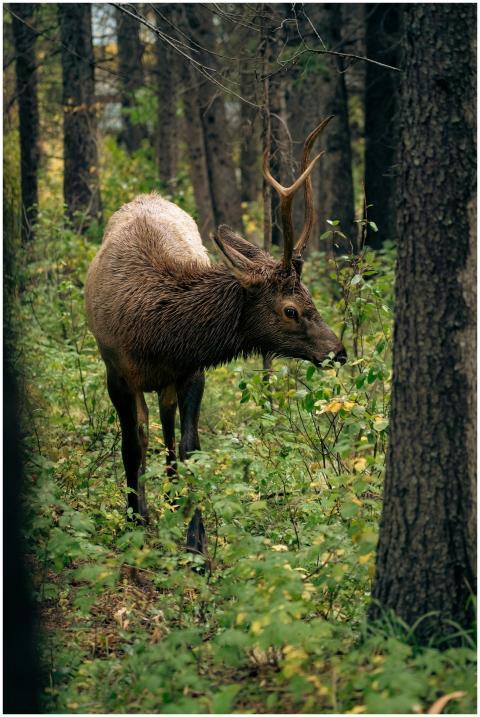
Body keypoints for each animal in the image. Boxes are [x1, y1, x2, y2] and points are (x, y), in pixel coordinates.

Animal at [85, 118, 346, 557]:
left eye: (310, 296)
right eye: (291, 309)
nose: (338, 351)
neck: (154, 334)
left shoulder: (193, 371)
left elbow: (192, 448)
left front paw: (196, 546)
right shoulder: (115, 372)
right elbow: (131, 446)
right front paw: (136, 522)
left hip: (169, 383)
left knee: (168, 424)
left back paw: (173, 494)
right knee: (149, 431)